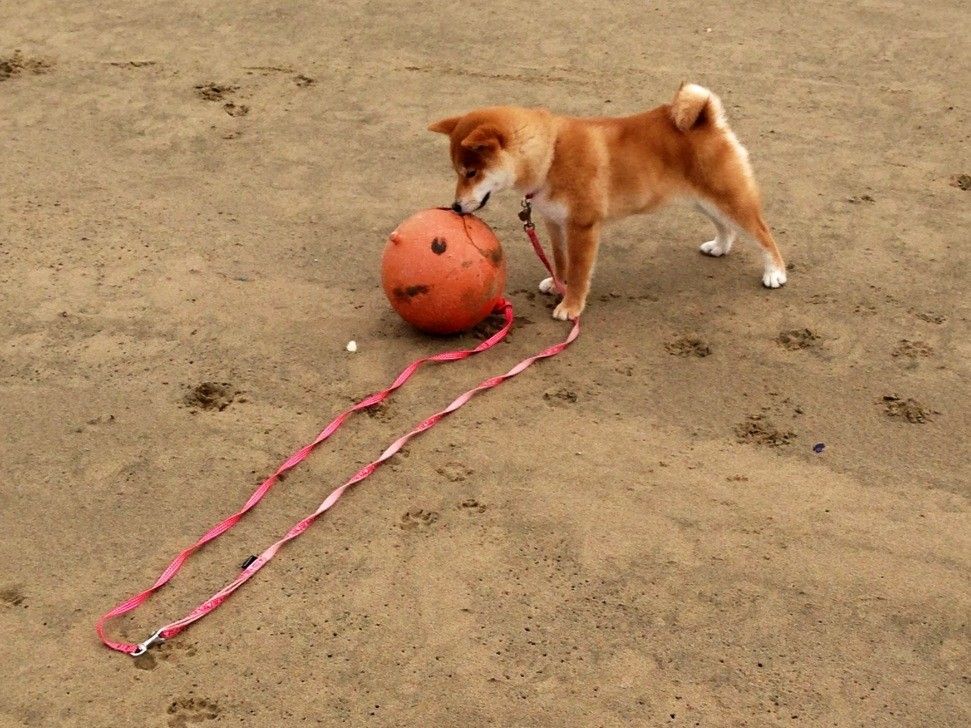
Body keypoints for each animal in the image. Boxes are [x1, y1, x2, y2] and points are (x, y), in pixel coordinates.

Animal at [430, 82, 788, 318]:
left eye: (471, 172)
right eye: (458, 172)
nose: (456, 207)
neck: (551, 154)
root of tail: (707, 119)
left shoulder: (583, 226)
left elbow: (579, 271)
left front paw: (570, 305)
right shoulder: (554, 222)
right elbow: (561, 260)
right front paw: (557, 283)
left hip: (728, 197)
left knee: (763, 233)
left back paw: (775, 272)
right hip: (703, 200)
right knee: (725, 226)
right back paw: (720, 246)